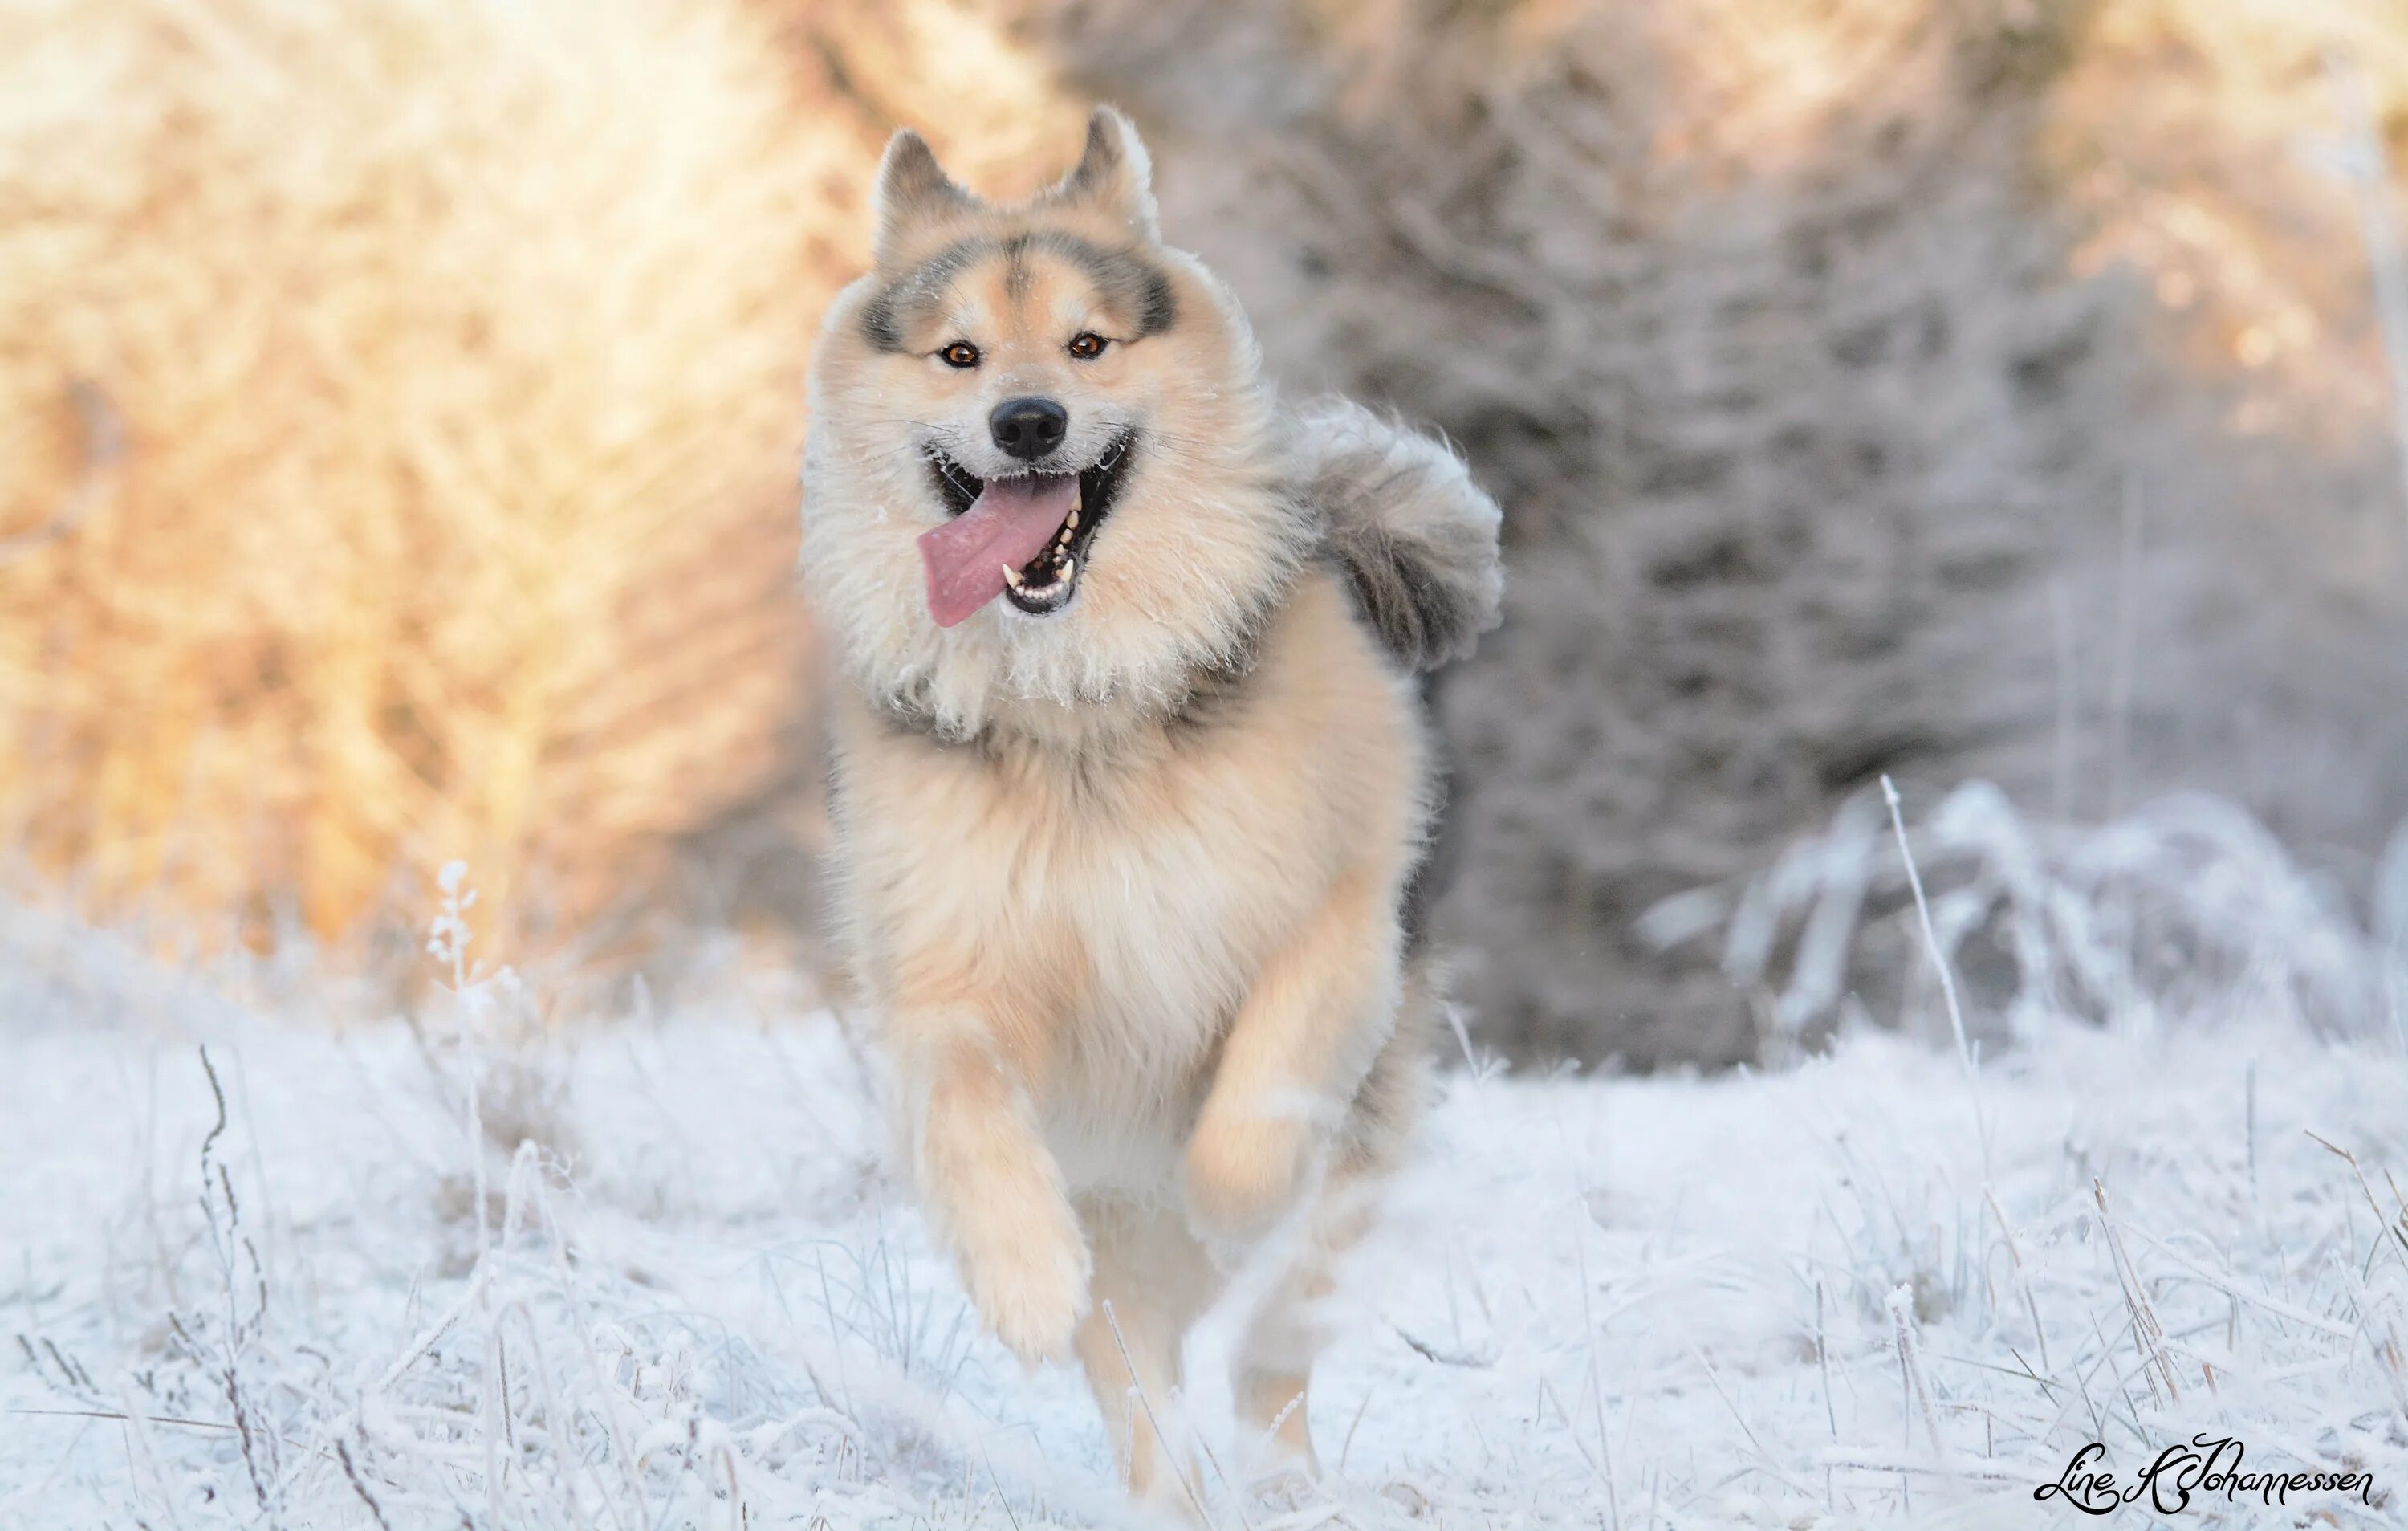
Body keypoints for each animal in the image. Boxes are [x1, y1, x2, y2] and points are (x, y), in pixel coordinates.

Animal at [799, 110, 1493, 1512]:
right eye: (959, 353)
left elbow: (1260, 1100)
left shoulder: (1334, 922)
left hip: (1361, 1152)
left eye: (1087, 344)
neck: (1082, 703)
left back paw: (1285, 1480)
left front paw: (1229, 1195)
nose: (1025, 420)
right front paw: (1023, 1281)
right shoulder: (948, 977)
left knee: (1271, 1347)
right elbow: (966, 1100)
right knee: (1144, 1380)